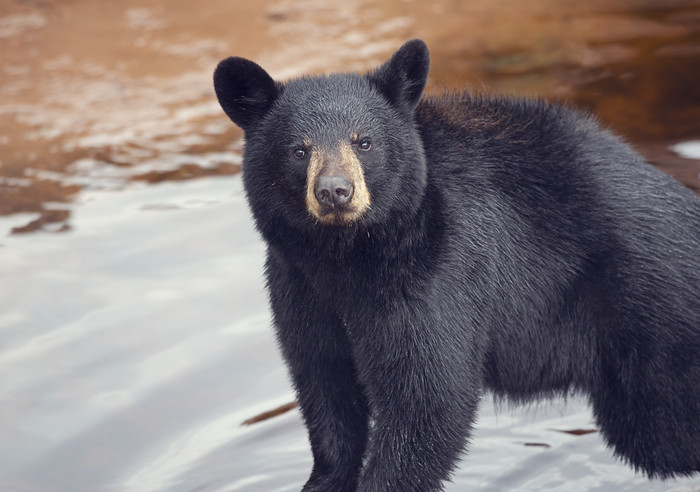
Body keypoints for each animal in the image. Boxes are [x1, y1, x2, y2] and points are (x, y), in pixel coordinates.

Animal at [215, 40, 700, 490]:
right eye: (299, 150)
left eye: (364, 141)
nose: (336, 191)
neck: (346, 256)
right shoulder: (297, 287)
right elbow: (325, 391)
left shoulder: (438, 272)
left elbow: (430, 399)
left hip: (651, 323)